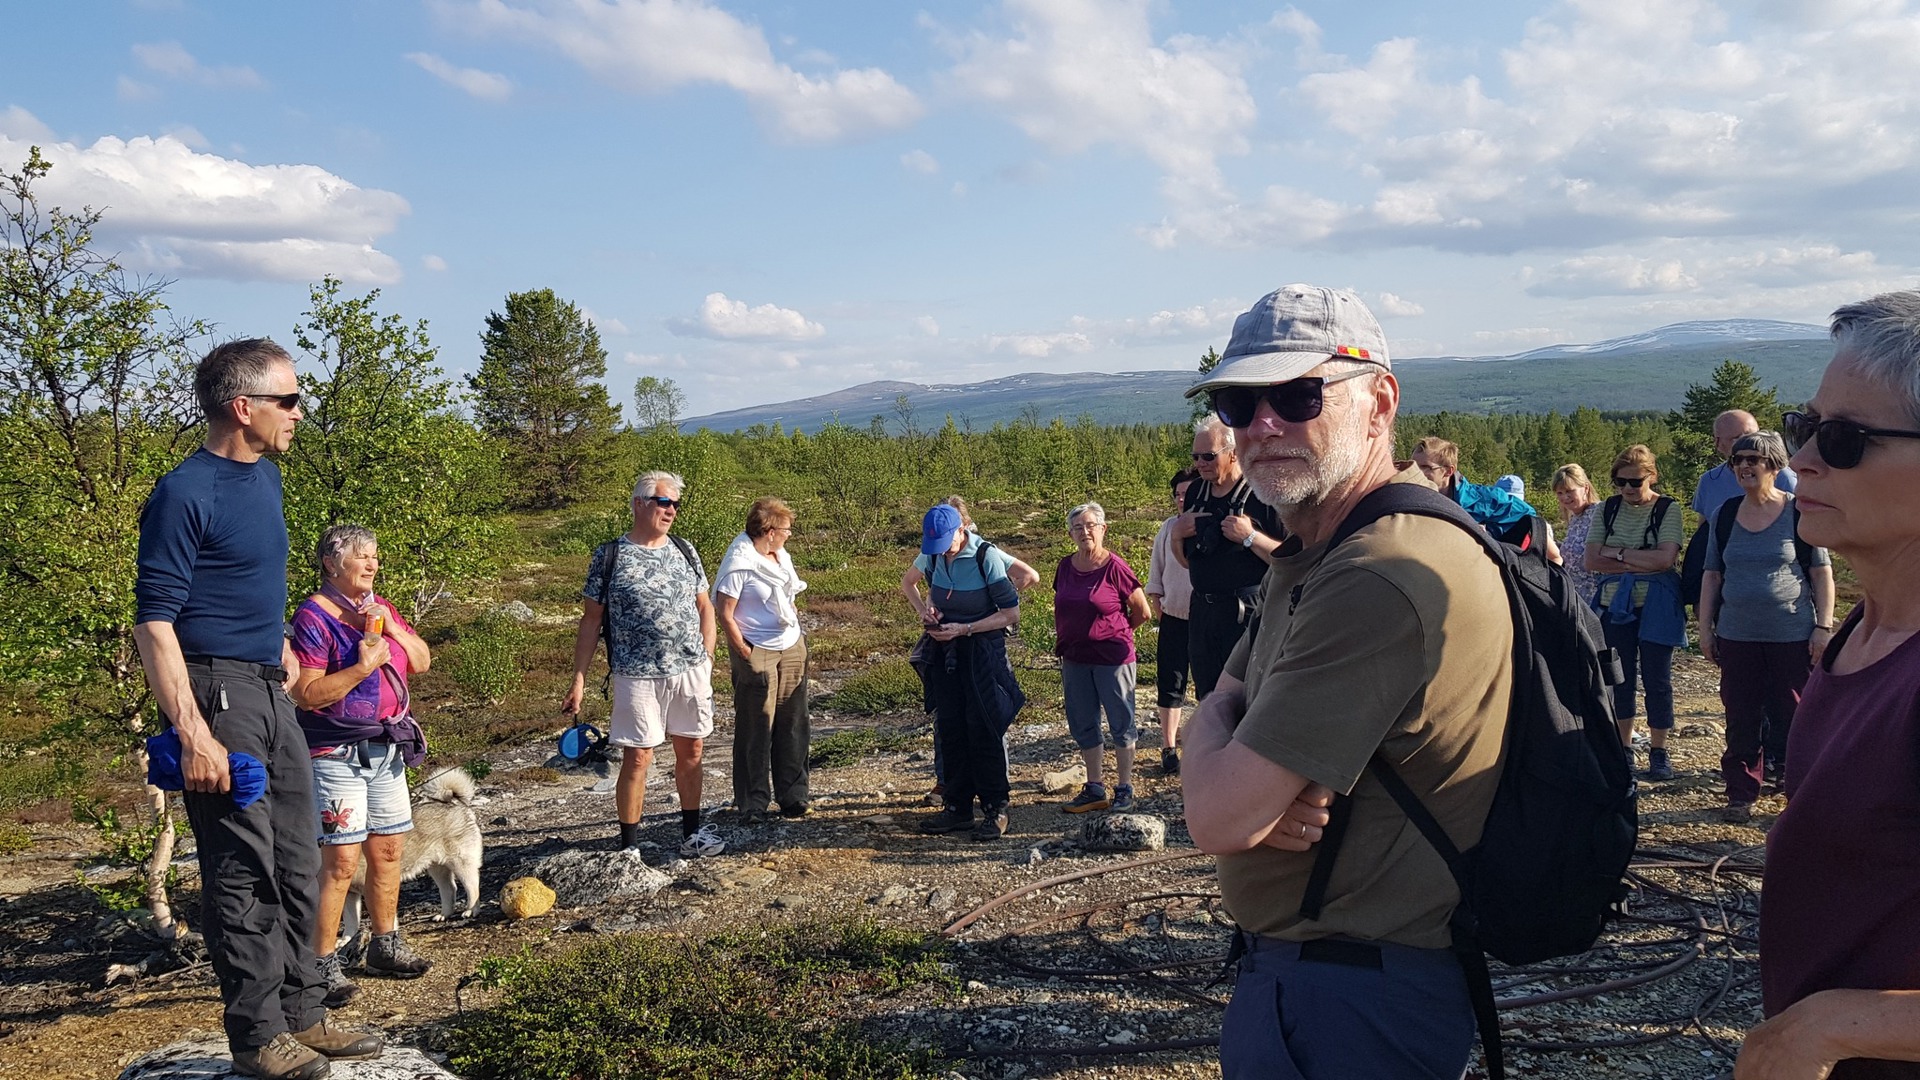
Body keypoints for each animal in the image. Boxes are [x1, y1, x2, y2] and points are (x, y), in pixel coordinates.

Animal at [339, 764, 483, 941]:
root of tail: (454, 803)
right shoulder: (349, 895)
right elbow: (351, 921)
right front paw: (346, 940)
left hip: (460, 863)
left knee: (473, 886)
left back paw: (471, 910)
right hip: (437, 867)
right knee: (450, 888)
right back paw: (445, 914)